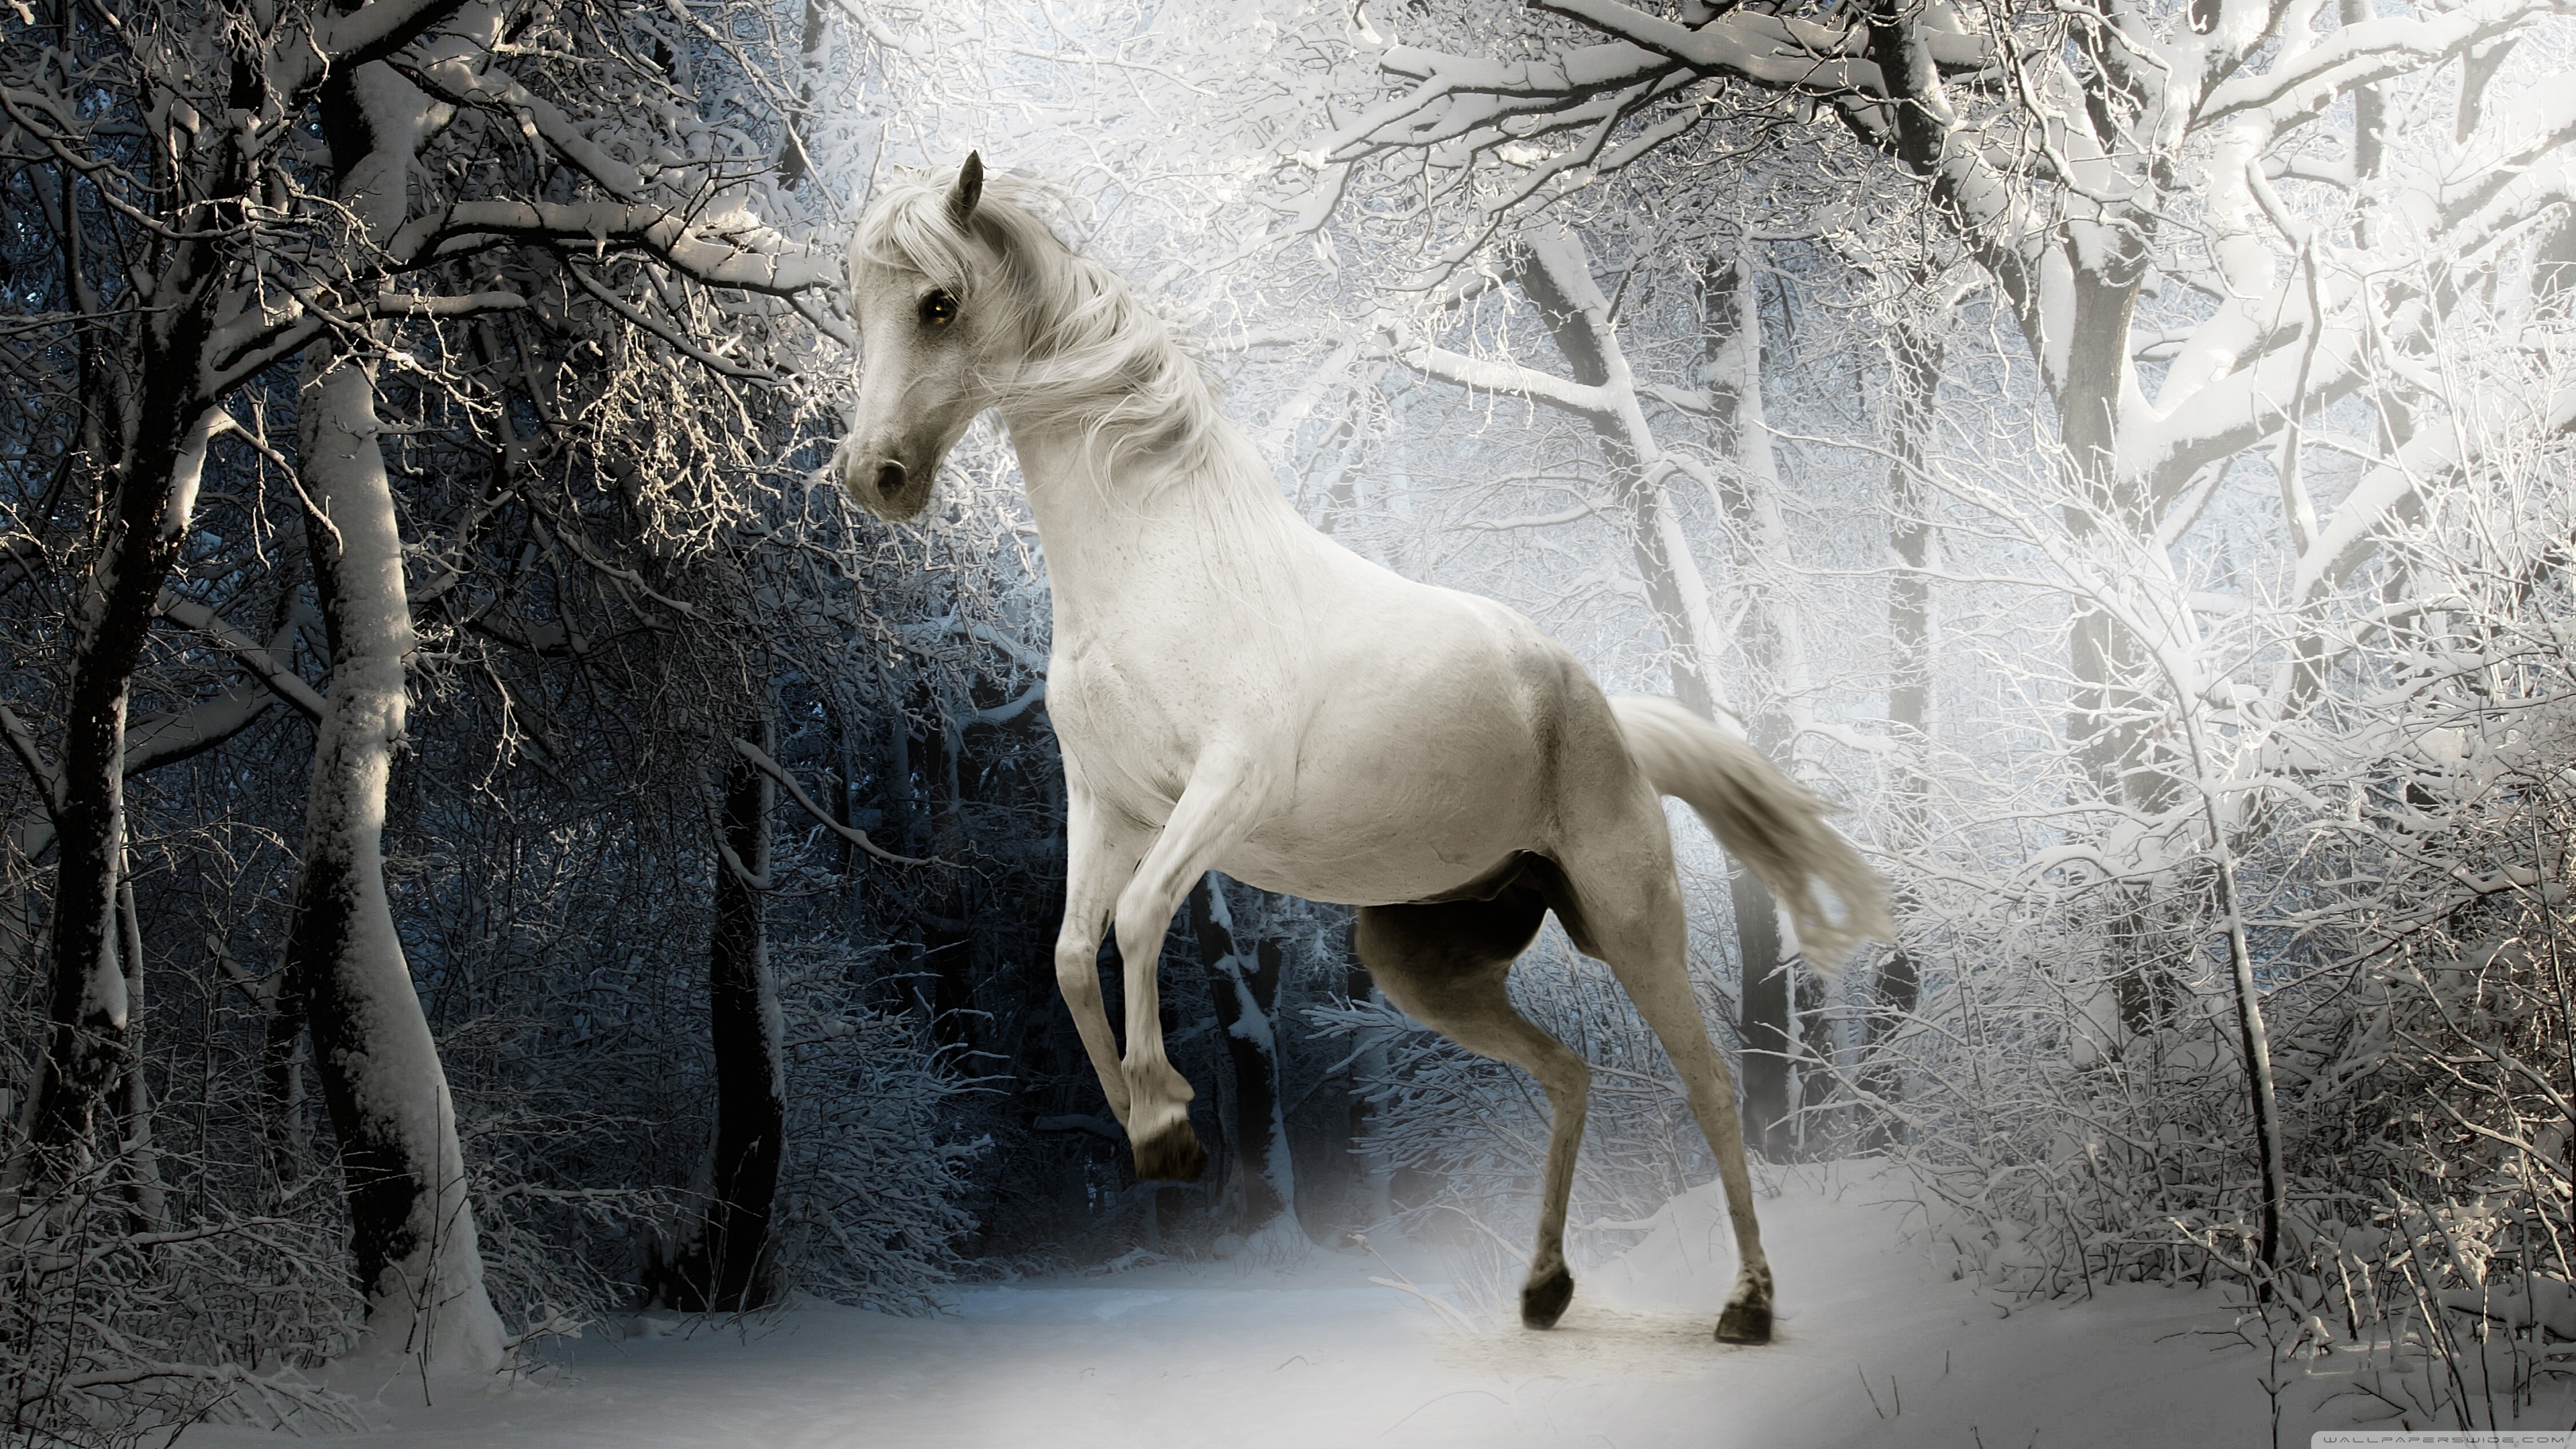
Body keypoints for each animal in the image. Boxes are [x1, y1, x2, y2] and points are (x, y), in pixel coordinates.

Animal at [832, 154, 1890, 1344]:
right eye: (857, 307)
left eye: (939, 304)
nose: (873, 477)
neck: (1160, 565)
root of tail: (1605, 713)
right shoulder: (1107, 804)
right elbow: (1067, 954)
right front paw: (1150, 1131)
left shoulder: (1221, 792)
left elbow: (1139, 920)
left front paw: (1168, 1120)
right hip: (1423, 964)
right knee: (1569, 1074)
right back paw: (1544, 1290)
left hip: (1632, 919)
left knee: (1710, 1083)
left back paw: (1747, 1305)